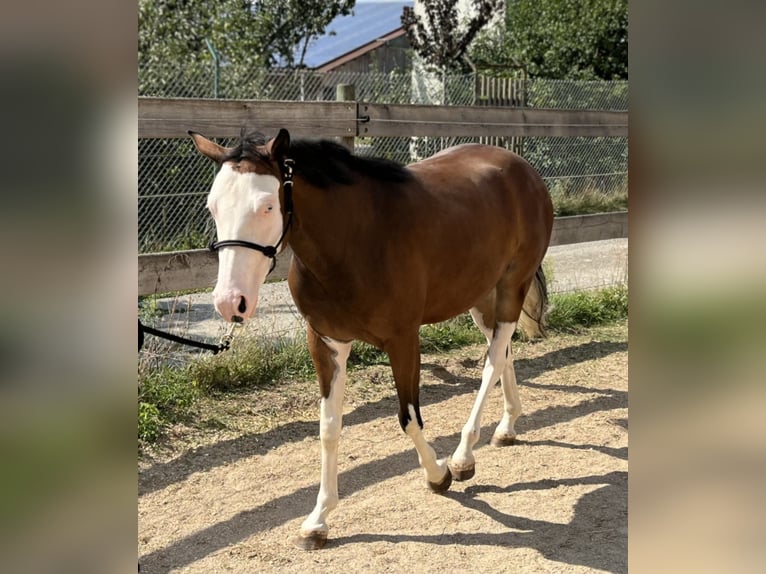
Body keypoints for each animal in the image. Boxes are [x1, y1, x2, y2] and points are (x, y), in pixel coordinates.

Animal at [190, 128, 556, 552]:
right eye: (213, 207)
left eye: (266, 206)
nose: (230, 301)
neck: (356, 242)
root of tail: (521, 167)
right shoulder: (326, 343)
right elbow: (329, 428)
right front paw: (318, 521)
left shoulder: (404, 340)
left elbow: (409, 418)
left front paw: (439, 475)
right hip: (481, 297)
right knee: (505, 353)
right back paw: (506, 428)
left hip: (513, 286)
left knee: (494, 361)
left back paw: (463, 457)